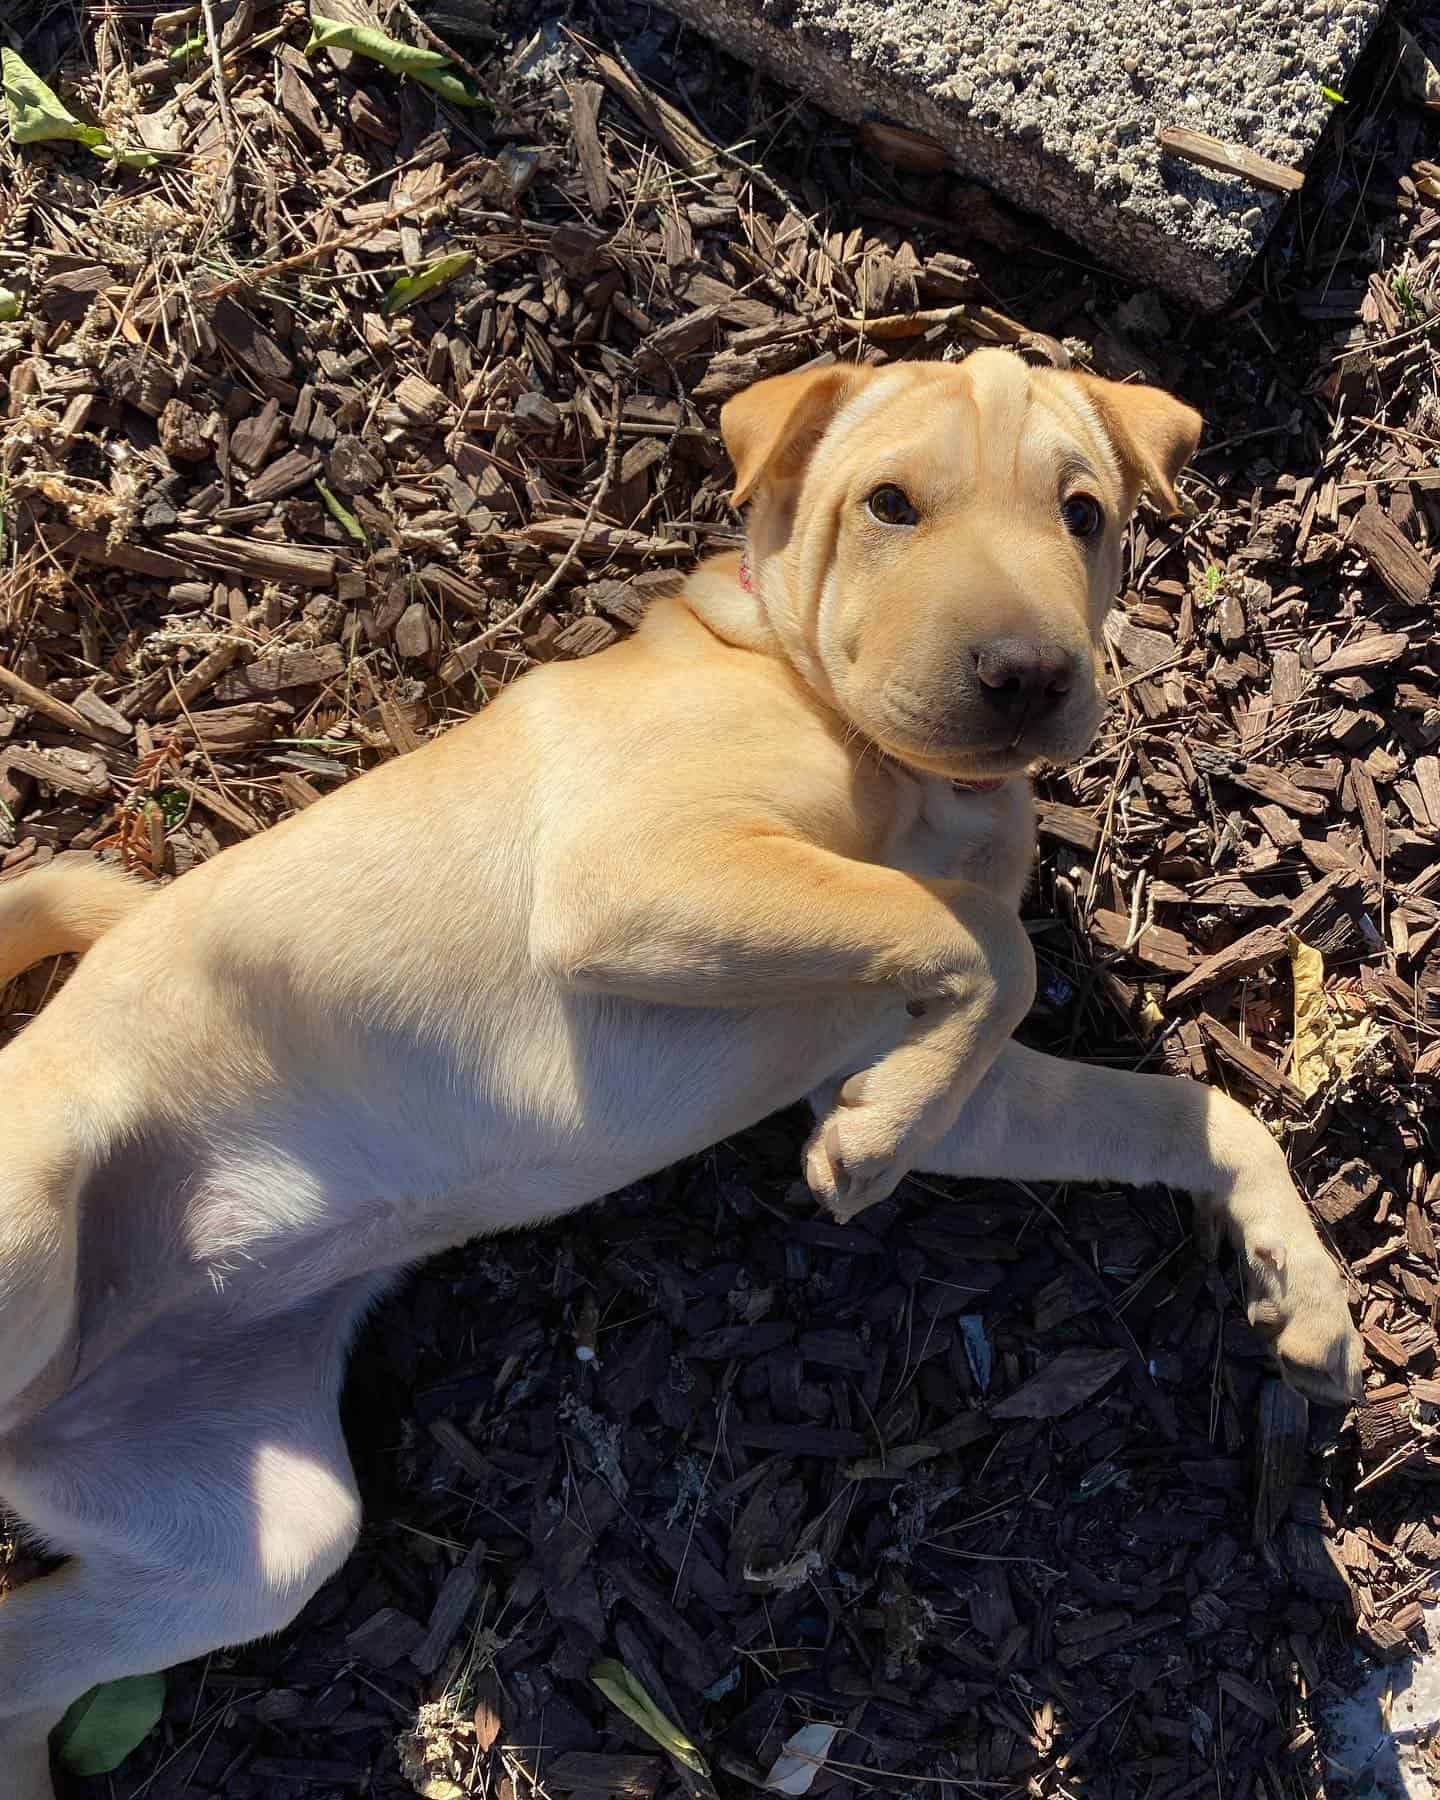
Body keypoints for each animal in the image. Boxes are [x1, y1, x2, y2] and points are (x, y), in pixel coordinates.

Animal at [0, 354, 1360, 1800]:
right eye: (890, 505)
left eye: (1085, 514)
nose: (1029, 674)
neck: (874, 751)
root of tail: (56, 1399)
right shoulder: (640, 871)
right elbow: (984, 941)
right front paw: (870, 1146)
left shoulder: (938, 1063)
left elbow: (1177, 1103)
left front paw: (1300, 1284)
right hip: (31, 1225)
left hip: (258, 1536)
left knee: (26, 1660)